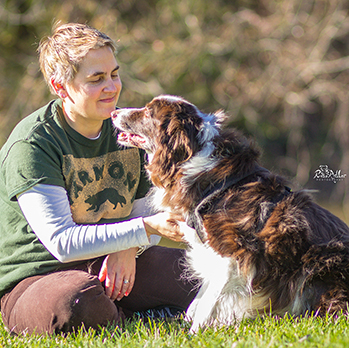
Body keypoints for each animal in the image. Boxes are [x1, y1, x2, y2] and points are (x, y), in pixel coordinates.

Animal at [110, 95, 348, 332]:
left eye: (148, 112)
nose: (113, 113)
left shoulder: (231, 253)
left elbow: (208, 301)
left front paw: (194, 333)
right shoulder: (210, 249)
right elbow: (199, 298)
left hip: (320, 265)